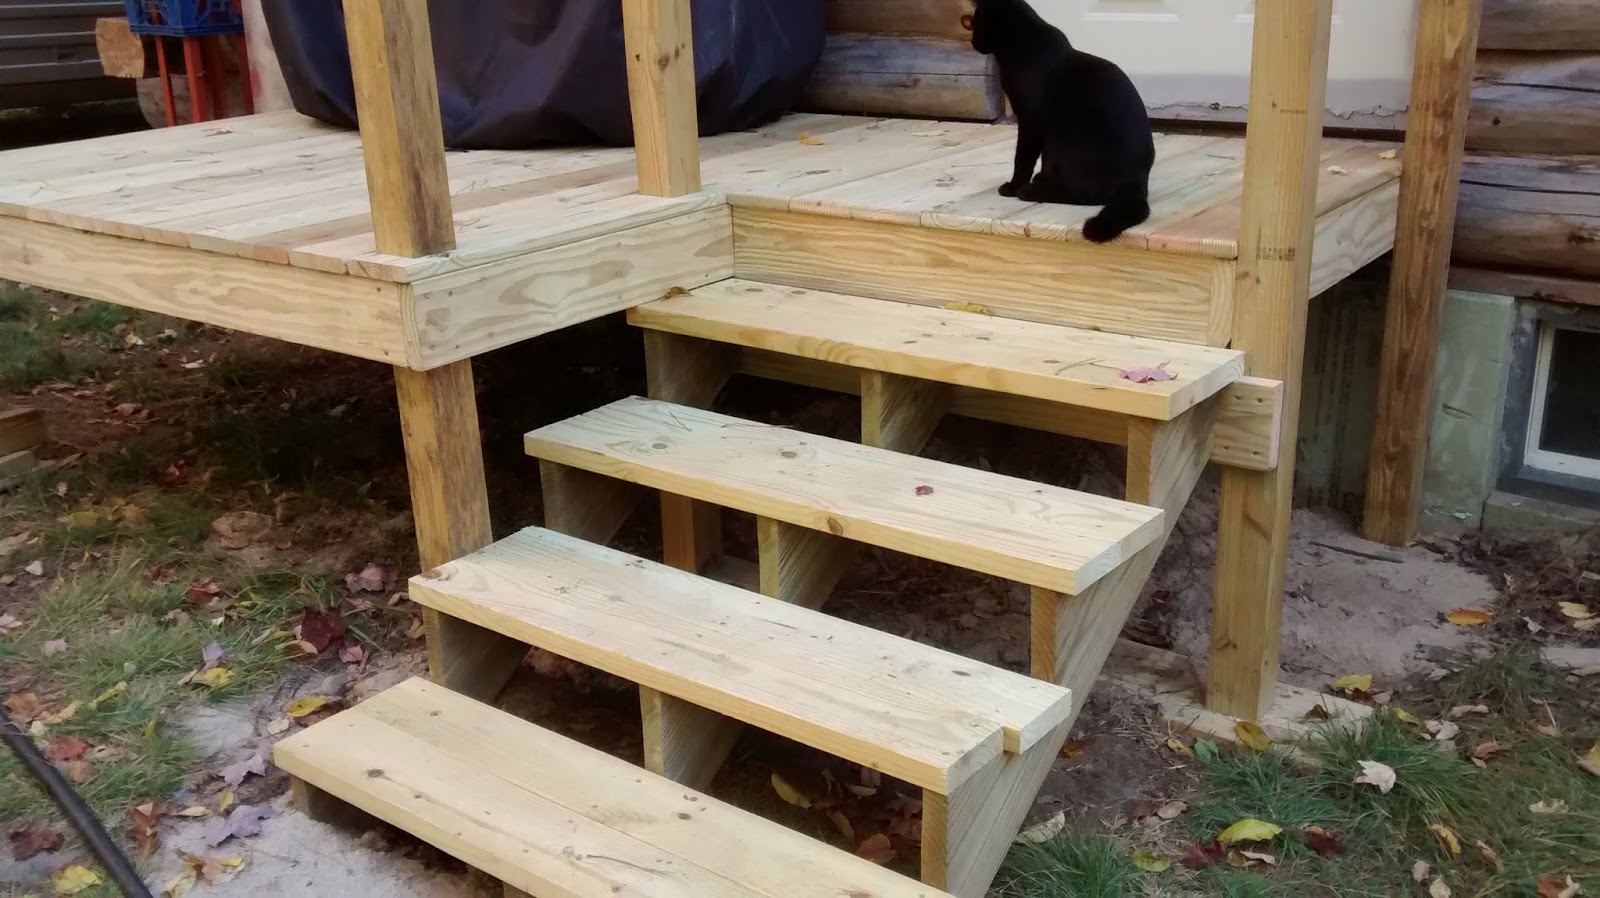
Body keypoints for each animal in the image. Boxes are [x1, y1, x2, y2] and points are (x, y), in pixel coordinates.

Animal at [966, 0, 1155, 243]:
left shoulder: (1031, 122)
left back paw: (1029, 191)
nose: (972, 42)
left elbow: (1023, 158)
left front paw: (1014, 185)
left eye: (975, 24)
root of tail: (1137, 183)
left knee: (1085, 194)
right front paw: (1043, 176)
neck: (1019, 48)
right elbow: (1046, 158)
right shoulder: (1044, 131)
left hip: (1074, 137)